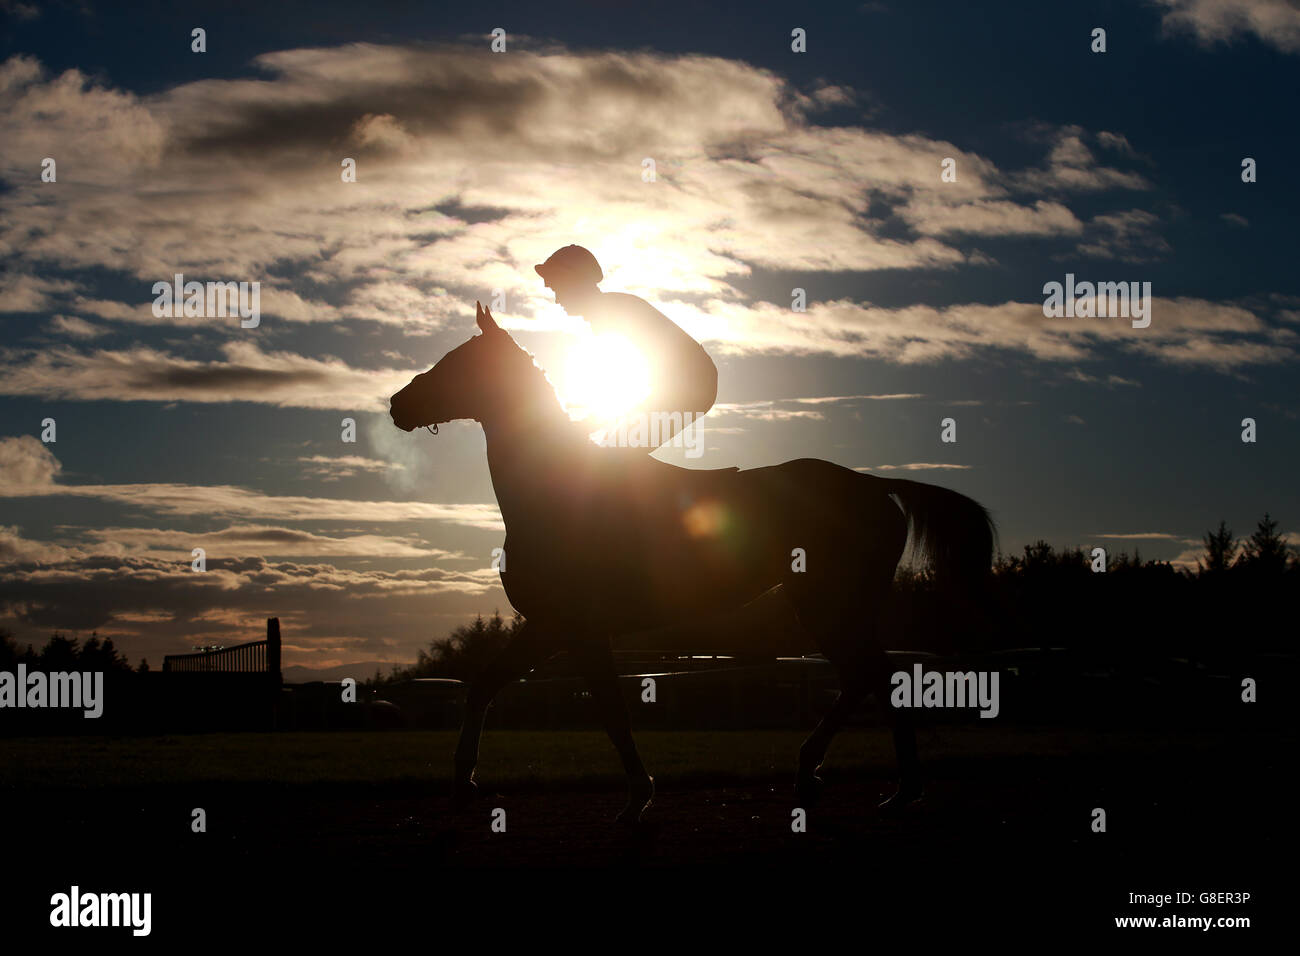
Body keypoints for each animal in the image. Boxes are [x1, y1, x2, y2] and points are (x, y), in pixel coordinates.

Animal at [387, 304, 993, 822]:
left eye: (458, 362)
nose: (397, 404)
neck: (552, 493)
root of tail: (872, 484)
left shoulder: (575, 629)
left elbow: (610, 711)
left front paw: (637, 796)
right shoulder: (552, 628)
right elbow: (485, 686)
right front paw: (463, 781)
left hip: (828, 603)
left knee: (875, 676)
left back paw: (887, 786)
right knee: (869, 677)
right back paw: (836, 776)